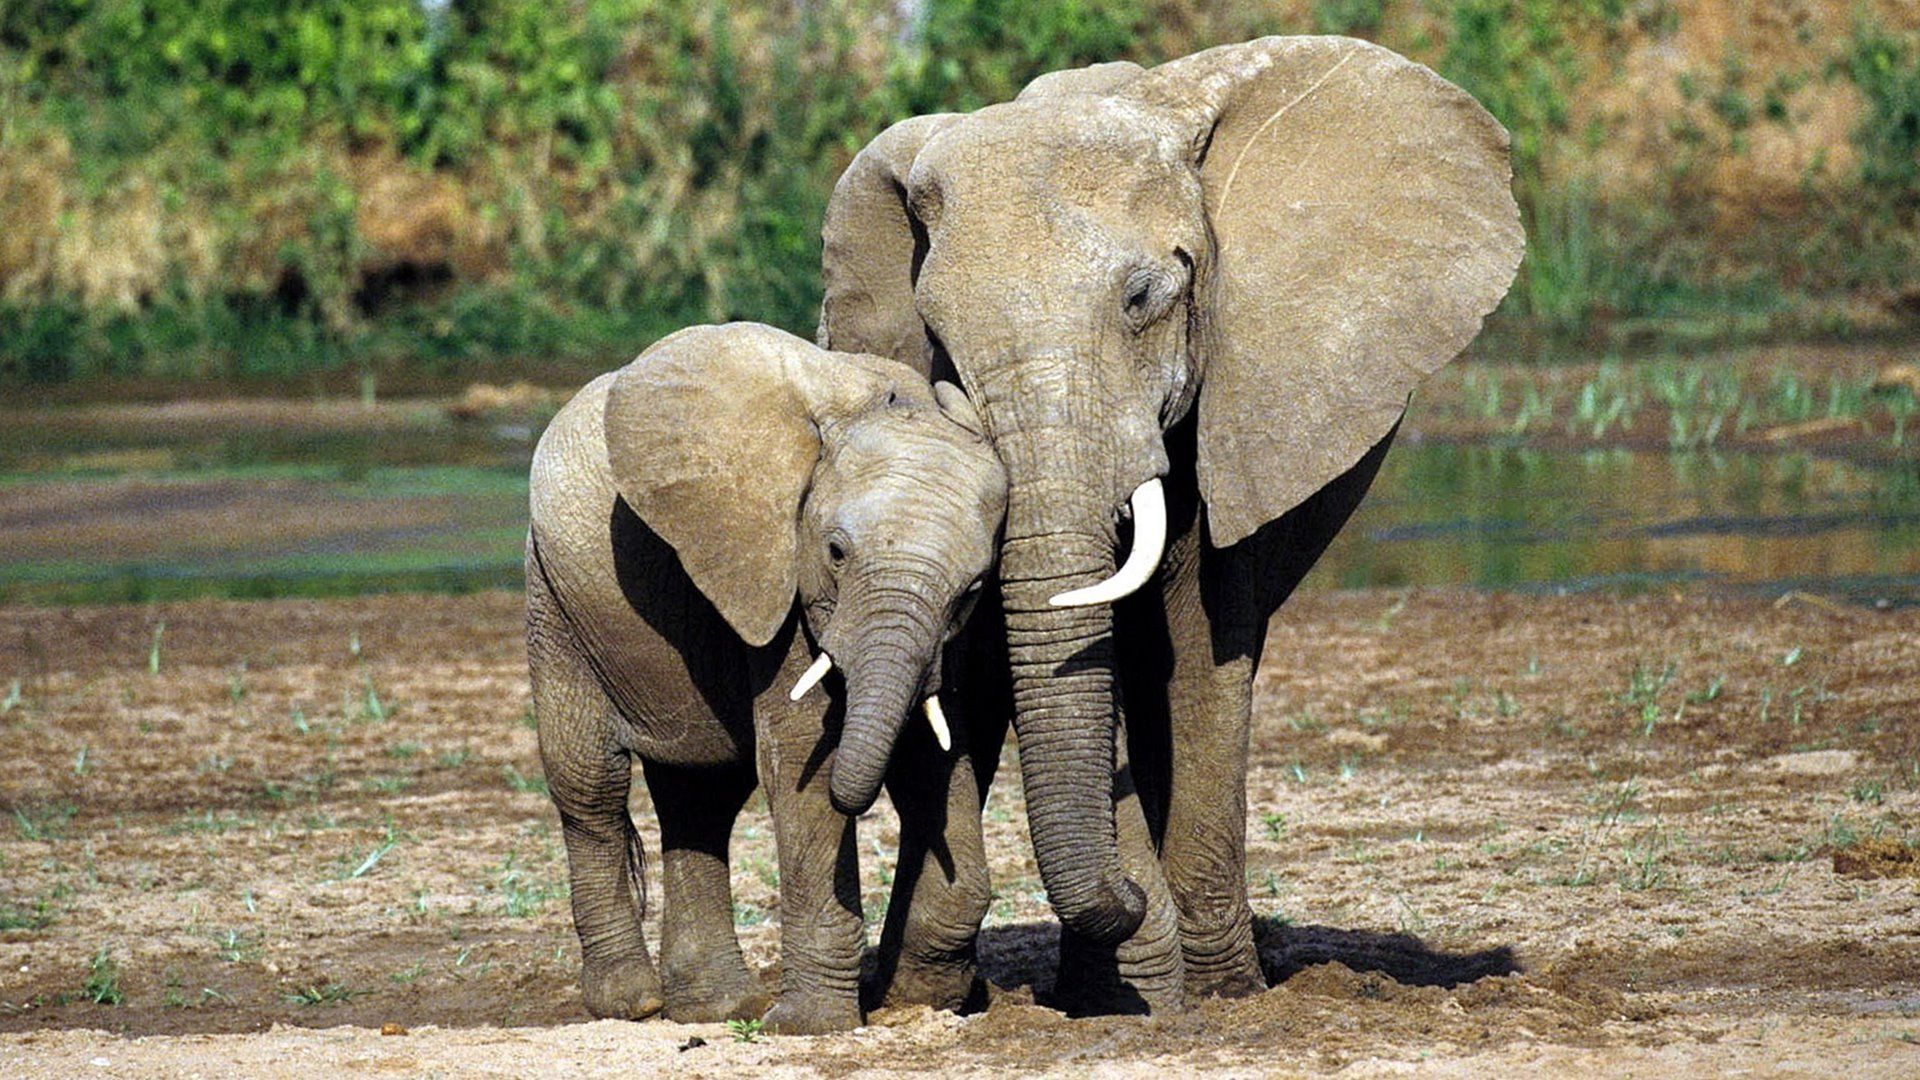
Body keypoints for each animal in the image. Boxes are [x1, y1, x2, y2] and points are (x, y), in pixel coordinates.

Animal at [526, 322, 1009, 1033]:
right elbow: (802, 765)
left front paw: (917, 1000)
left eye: (973, 588)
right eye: (835, 552)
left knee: (701, 797)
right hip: (555, 599)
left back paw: (714, 1008)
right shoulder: (776, 574)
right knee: (590, 786)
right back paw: (634, 1004)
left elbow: (937, 755)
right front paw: (811, 1027)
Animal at [816, 36, 1524, 1012]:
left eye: (1142, 299)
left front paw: (1218, 994)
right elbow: (987, 657)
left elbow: (1197, 647)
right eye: (938, 338)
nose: (1124, 887)